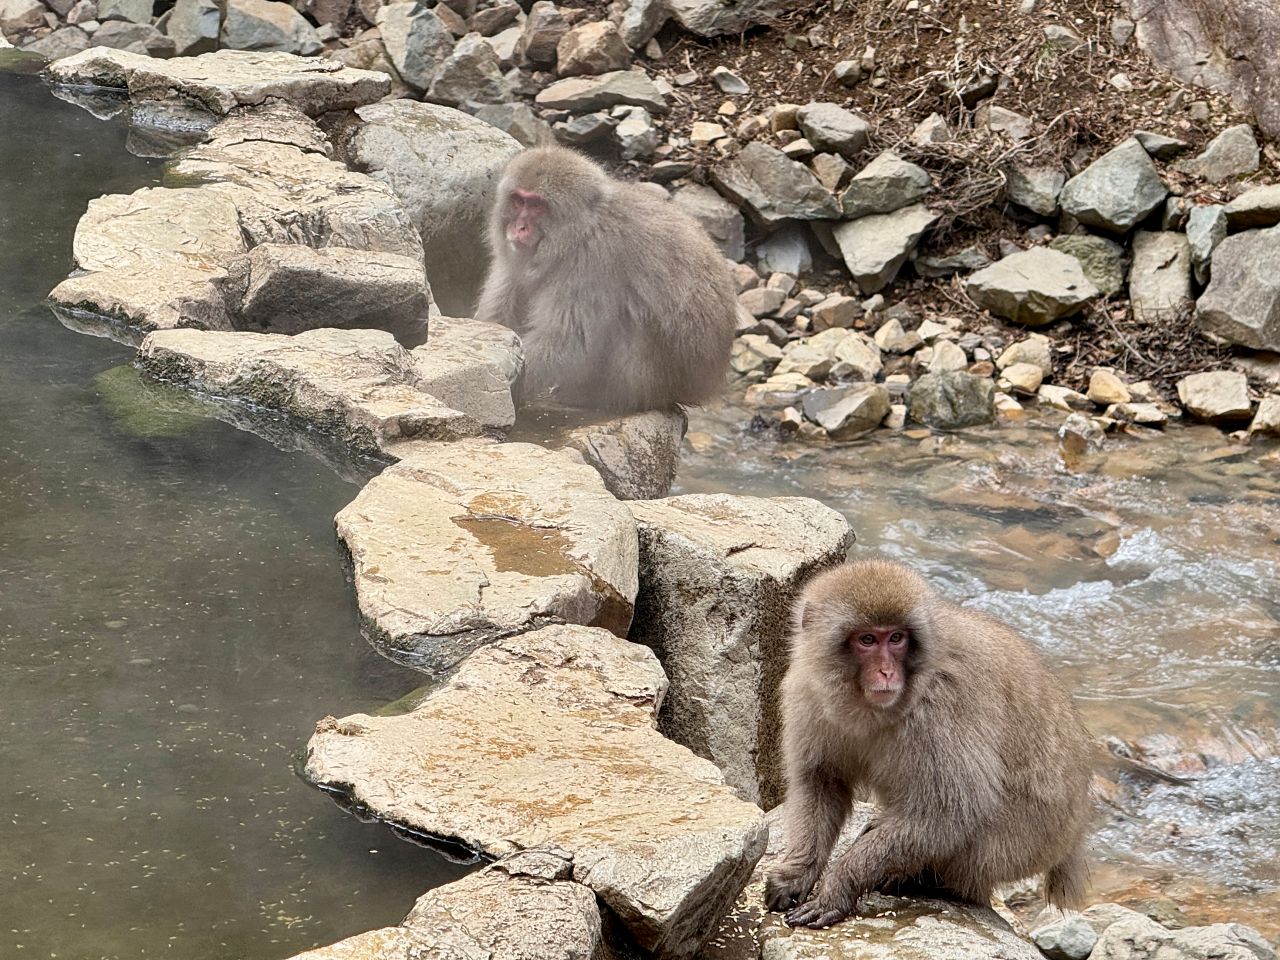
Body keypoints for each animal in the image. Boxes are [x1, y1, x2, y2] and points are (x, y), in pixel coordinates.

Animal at [474, 145, 738, 414]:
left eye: (537, 205)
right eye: (518, 201)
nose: (519, 227)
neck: (580, 231)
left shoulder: (591, 262)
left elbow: (569, 341)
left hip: (659, 379)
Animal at [764, 558, 1095, 929]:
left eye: (896, 638)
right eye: (868, 639)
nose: (886, 673)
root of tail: (1074, 835)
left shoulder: (941, 708)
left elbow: (947, 814)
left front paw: (838, 887)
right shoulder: (807, 692)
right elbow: (822, 781)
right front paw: (797, 873)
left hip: (1025, 846)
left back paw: (928, 883)